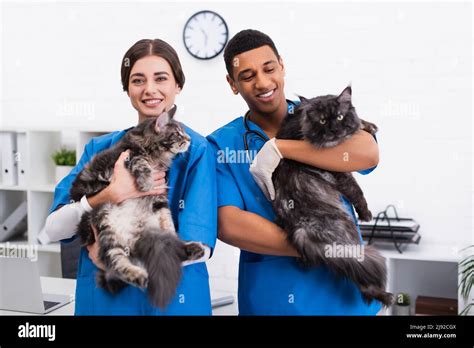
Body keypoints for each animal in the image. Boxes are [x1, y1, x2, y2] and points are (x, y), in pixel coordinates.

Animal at [69, 105, 205, 308]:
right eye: (177, 134)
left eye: (184, 133)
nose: (189, 139)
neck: (156, 155)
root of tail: (134, 238)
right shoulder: (124, 156)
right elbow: (139, 161)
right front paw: (145, 181)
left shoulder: (160, 200)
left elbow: (170, 228)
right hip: (106, 224)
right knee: (116, 263)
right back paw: (139, 276)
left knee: (169, 247)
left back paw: (193, 248)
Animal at [272, 87, 394, 308]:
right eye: (322, 121)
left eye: (339, 117)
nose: (334, 130)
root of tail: (300, 228)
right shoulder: (338, 171)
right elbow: (355, 190)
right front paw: (366, 213)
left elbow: (358, 121)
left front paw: (369, 126)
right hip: (345, 228)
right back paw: (386, 296)